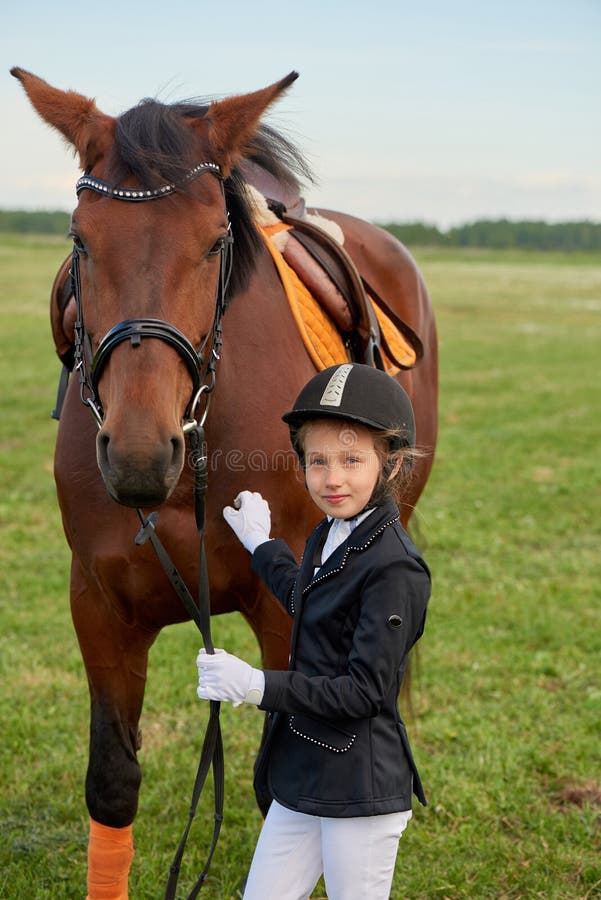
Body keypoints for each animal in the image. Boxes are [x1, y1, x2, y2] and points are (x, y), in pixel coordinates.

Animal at [12, 67, 436, 896]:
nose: (140, 454)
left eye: (214, 242)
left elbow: (286, 793)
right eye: (79, 238)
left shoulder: (286, 615)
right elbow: (112, 782)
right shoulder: (98, 606)